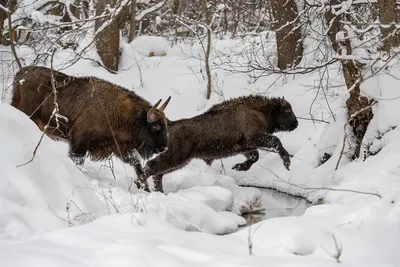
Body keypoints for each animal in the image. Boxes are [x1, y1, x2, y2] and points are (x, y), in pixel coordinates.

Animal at [11, 65, 171, 180]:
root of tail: (21, 74)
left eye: (165, 126)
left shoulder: (120, 147)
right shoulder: (80, 141)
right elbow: (77, 160)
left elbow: (136, 163)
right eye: (155, 126)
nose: (164, 148)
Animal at [139, 96, 298, 193]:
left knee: (157, 173)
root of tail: (169, 125)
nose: (296, 123)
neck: (258, 110)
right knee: (152, 167)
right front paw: (287, 163)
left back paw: (158, 191)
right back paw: (143, 186)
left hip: (179, 161)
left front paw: (238, 167)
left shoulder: (245, 147)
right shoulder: (254, 138)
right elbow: (275, 141)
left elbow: (254, 157)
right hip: (175, 157)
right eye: (287, 110)